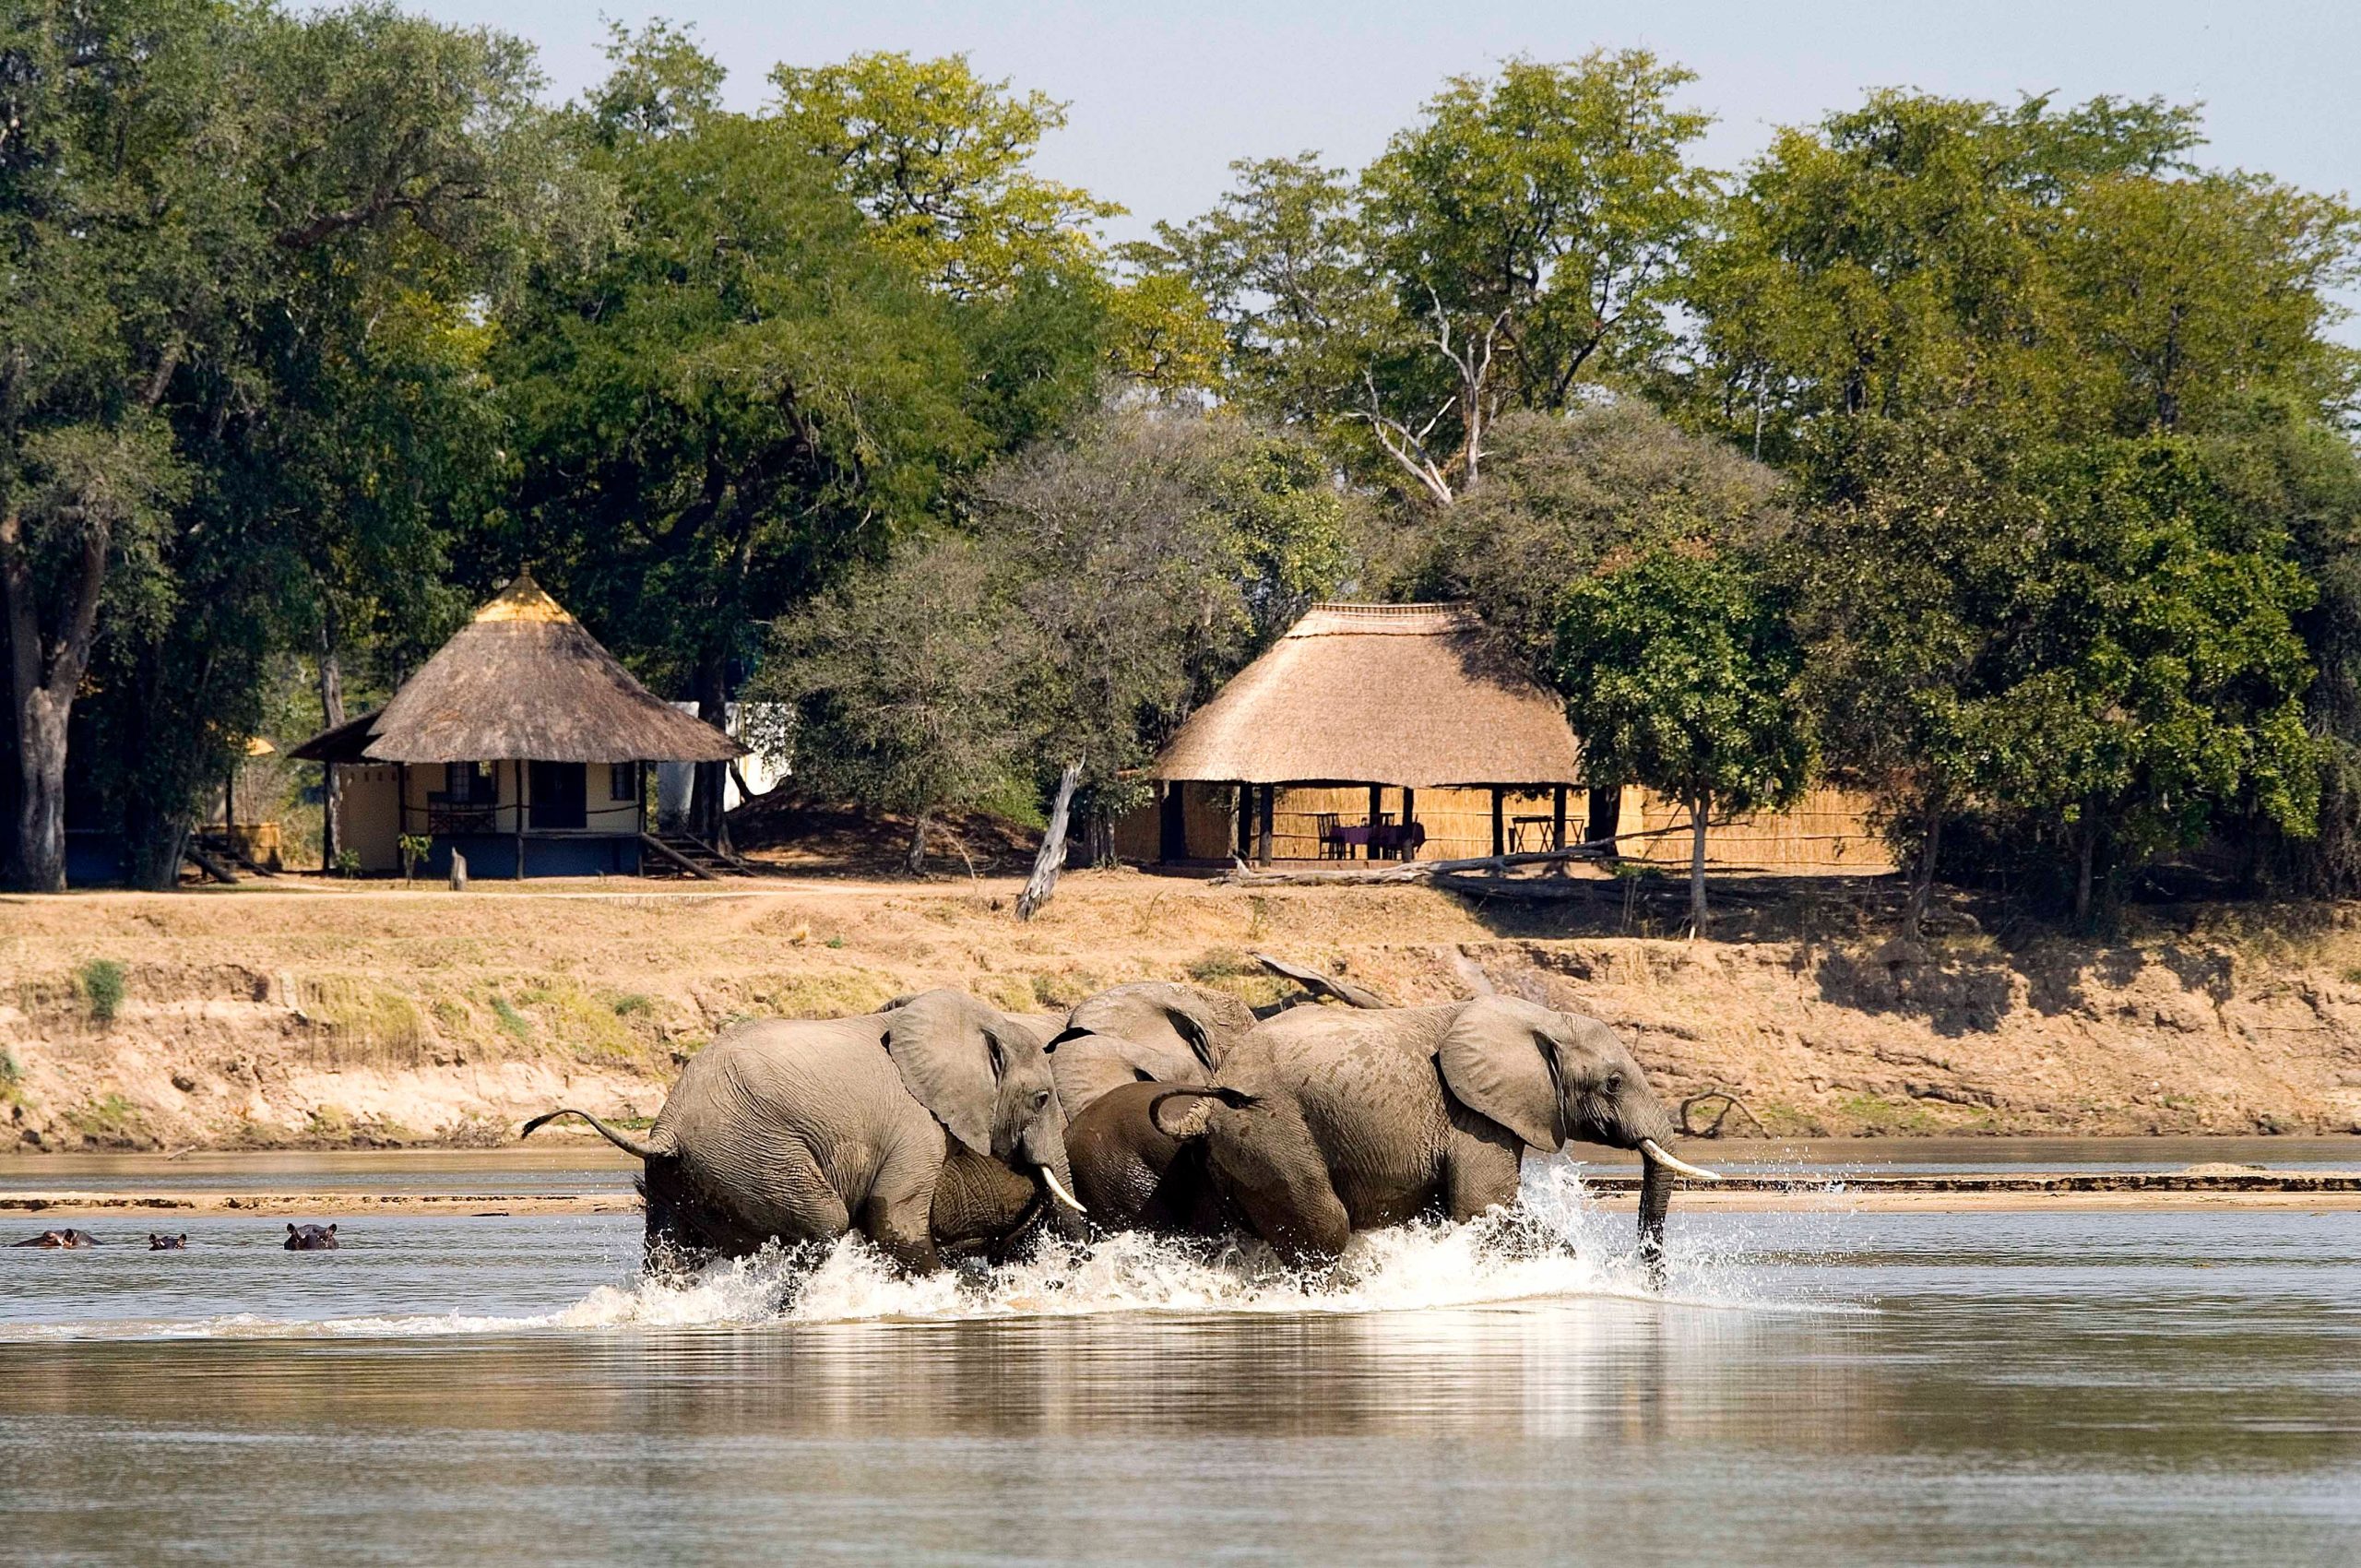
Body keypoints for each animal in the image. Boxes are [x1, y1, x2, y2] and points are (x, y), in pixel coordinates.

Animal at [521, 992, 1081, 1275]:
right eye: (1042, 1099)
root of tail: (668, 1128)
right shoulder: (915, 1126)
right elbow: (892, 1222)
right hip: (755, 1156)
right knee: (824, 1227)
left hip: (679, 1180)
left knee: (671, 1253)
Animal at [1190, 1005, 1727, 1275]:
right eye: (1613, 1083)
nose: (1653, 1286)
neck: (1535, 1019)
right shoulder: (1470, 1115)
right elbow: (1483, 1206)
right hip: (1272, 1134)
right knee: (1325, 1228)